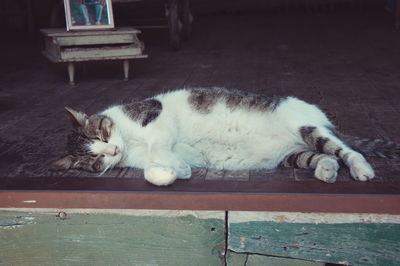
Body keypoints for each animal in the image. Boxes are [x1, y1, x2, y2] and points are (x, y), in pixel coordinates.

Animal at [53, 87, 400, 185]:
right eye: (95, 159)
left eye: (103, 134)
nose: (112, 152)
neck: (129, 141)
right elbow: (153, 167)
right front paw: (176, 171)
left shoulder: (156, 117)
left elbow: (158, 145)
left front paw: (178, 166)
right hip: (294, 154)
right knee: (322, 156)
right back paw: (326, 170)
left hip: (306, 128)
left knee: (347, 150)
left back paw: (361, 169)